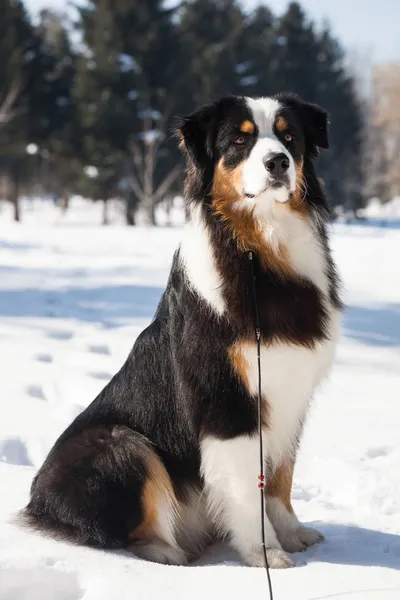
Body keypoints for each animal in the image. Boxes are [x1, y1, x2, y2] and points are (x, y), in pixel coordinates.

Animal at [21, 92, 340, 568]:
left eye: (289, 138)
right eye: (239, 140)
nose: (278, 162)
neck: (261, 249)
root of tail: (36, 503)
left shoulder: (290, 393)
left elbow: (280, 476)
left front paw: (293, 534)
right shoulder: (227, 400)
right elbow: (248, 489)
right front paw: (266, 555)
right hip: (120, 442)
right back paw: (169, 553)